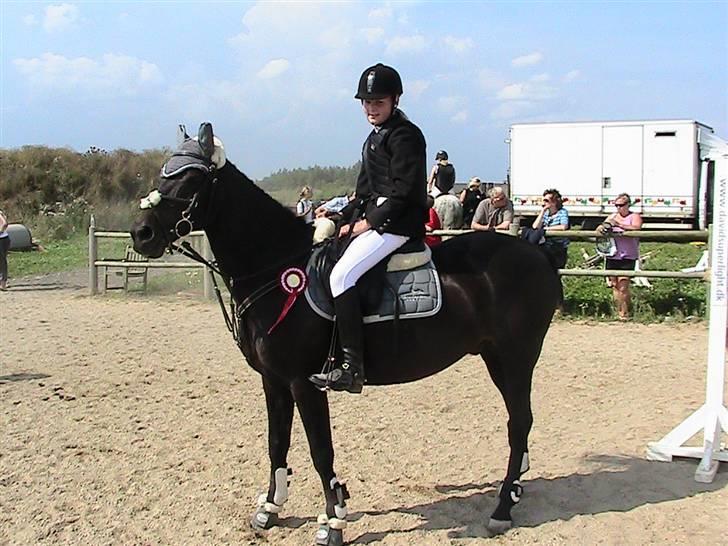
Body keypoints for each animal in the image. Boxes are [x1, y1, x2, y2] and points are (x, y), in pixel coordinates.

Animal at [131, 123, 560, 544]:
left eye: (190, 180)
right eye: (163, 174)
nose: (141, 233)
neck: (277, 267)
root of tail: (536, 254)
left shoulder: (303, 382)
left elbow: (321, 450)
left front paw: (332, 521)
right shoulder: (273, 380)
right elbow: (276, 442)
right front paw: (269, 509)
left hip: (517, 357)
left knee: (520, 421)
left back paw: (501, 509)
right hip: (495, 357)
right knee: (518, 423)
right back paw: (515, 487)